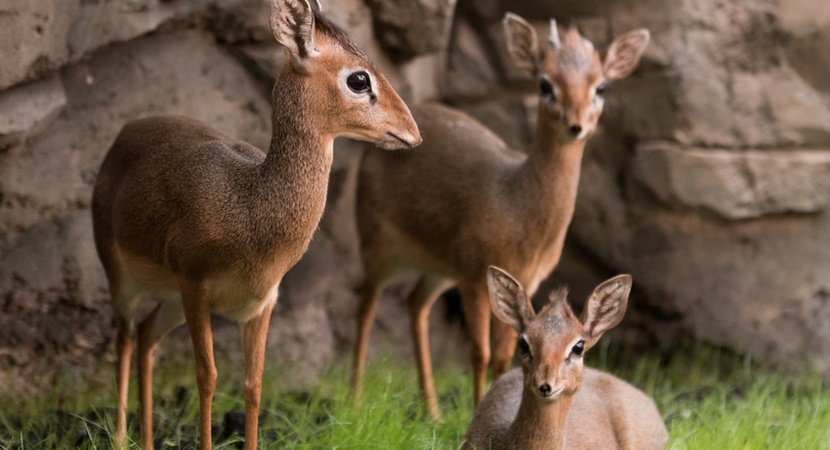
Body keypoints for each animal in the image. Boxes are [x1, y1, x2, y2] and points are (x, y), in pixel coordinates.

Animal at [92, 0, 422, 450]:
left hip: (170, 301)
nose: (413, 132)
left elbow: (253, 386)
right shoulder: (195, 288)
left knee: (145, 337)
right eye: (359, 78)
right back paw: (121, 436)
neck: (248, 206)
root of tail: (122, 135)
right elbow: (208, 376)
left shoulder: (261, 304)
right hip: (124, 281)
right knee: (124, 338)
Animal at [352, 12, 648, 418]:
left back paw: (432, 411)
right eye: (544, 82)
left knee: (414, 303)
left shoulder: (521, 279)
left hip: (439, 266)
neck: (519, 216)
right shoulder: (476, 275)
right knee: (366, 304)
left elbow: (504, 356)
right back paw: (352, 397)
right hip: (377, 239)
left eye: (601, 86)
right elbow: (480, 352)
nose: (575, 124)